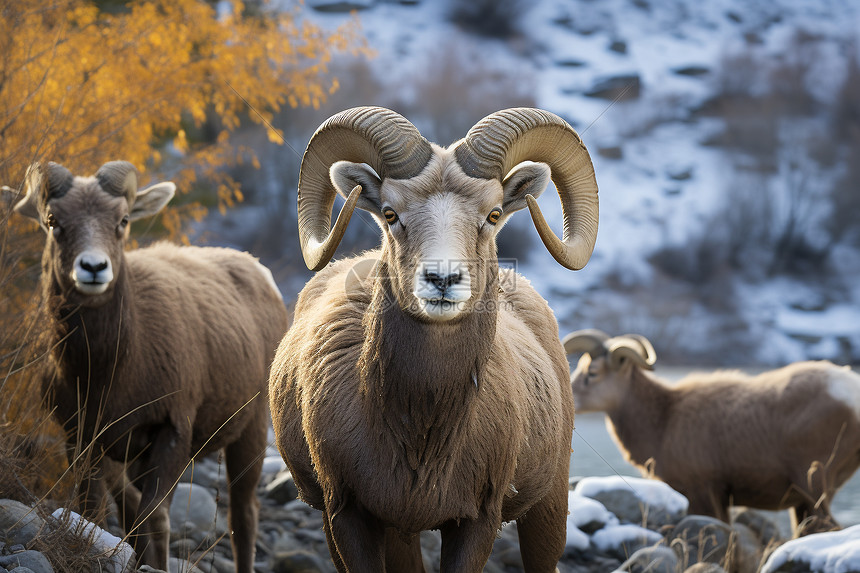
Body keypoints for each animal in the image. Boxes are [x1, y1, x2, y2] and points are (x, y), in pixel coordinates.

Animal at [9, 161, 288, 572]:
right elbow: (95, 512)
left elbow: (154, 517)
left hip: (251, 428)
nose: (93, 268)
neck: (107, 376)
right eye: (52, 220)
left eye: (123, 220)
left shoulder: (171, 433)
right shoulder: (81, 439)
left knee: (243, 514)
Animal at [268, 105, 596, 568]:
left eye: (493, 214)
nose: (442, 279)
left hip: (547, 507)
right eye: (390, 213)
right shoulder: (346, 516)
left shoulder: (477, 522)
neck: (421, 431)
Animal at [564, 328, 860, 536]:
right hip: (806, 500)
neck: (664, 418)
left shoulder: (702, 494)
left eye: (592, 372)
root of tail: (850, 391)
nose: (569, 398)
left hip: (814, 486)